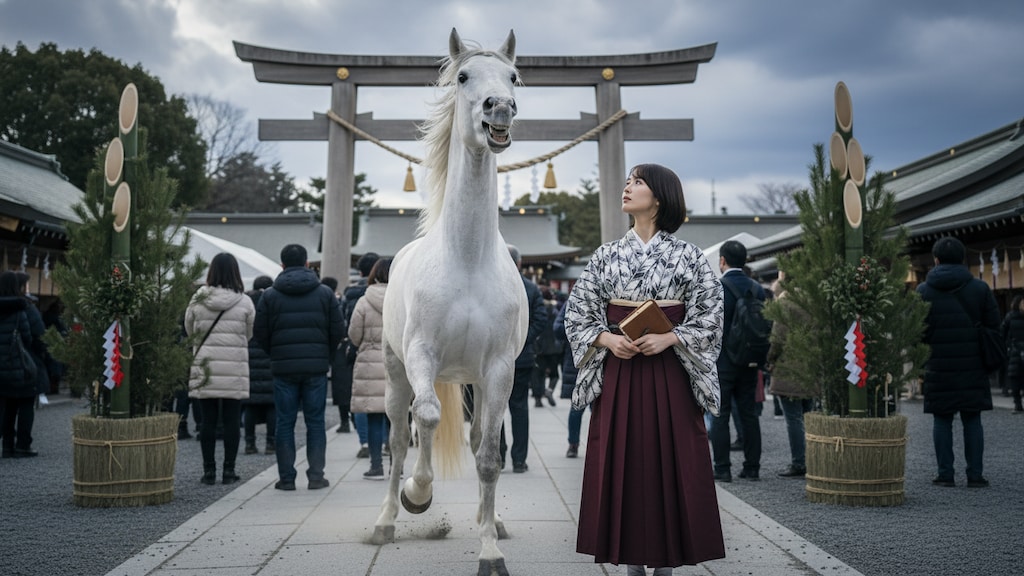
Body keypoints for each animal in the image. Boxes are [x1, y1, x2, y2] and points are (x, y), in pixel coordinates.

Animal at [370, 29, 528, 576]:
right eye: (462, 77)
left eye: (514, 77)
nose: (499, 108)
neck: (467, 258)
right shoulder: (422, 354)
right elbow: (429, 418)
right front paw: (419, 494)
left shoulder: (499, 368)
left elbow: (489, 456)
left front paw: (491, 550)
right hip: (395, 369)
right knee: (400, 436)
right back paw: (387, 520)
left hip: (474, 378)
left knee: (480, 438)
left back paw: (492, 520)